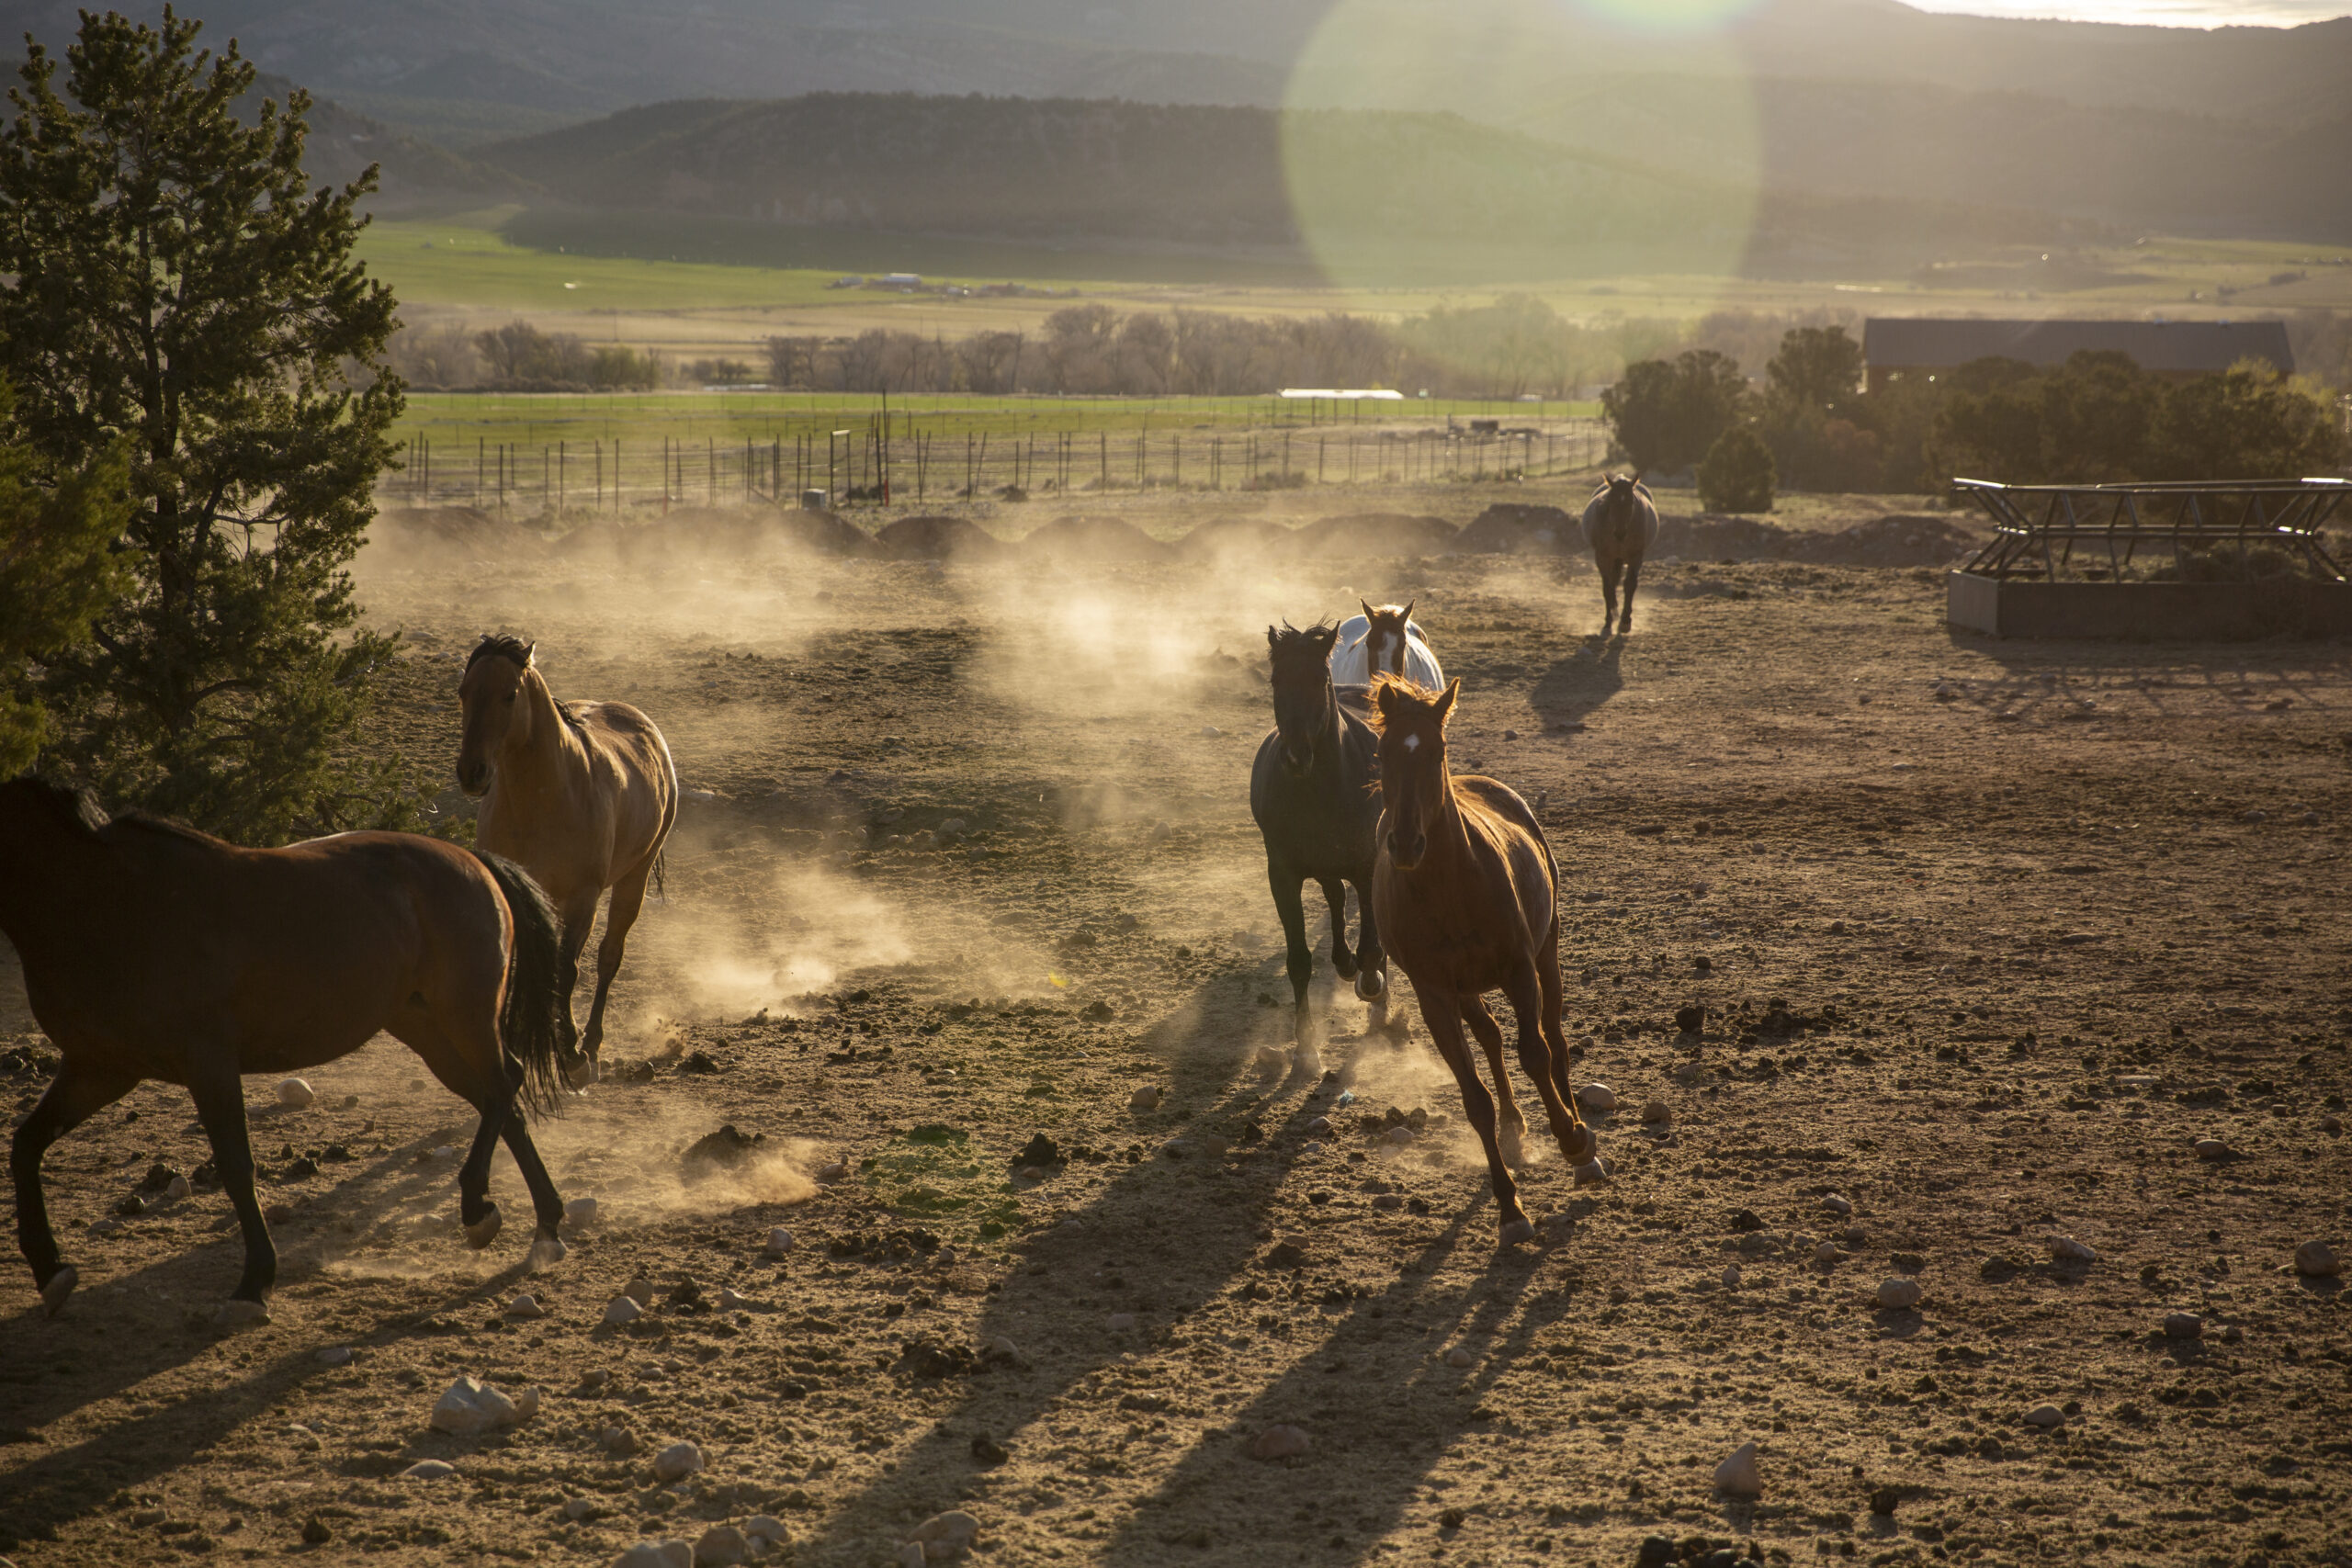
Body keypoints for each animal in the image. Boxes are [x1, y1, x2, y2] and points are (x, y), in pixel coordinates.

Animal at [0, 777, 578, 1321]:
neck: (109, 903)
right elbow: (26, 1146)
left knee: (503, 1086)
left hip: (464, 1016)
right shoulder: (99, 1067)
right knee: (498, 1098)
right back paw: (545, 1226)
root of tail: (473, 860)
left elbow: (236, 1166)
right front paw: (51, 1272)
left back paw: (479, 1209)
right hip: (422, 1026)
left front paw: (254, 1282)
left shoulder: (207, 1063)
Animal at [457, 636, 677, 1081]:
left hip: (634, 878)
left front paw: (571, 1052)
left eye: (509, 695)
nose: (471, 772)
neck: (543, 799)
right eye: (462, 693)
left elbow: (569, 968)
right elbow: (526, 964)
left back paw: (590, 1042)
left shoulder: (583, 898)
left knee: (609, 956)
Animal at [1249, 622, 1392, 1055]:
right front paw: (1306, 1043)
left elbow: (1372, 943)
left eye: (1318, 679)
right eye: (1276, 680)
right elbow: (1298, 960)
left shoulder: (1366, 865)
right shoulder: (1282, 875)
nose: (1295, 758)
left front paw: (1372, 983)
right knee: (1334, 896)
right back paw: (1344, 964)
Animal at [1367, 677, 1597, 1245]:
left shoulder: (1518, 969)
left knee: (1554, 1041)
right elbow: (1474, 1098)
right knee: (1491, 1037)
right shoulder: (1435, 996)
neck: (1450, 888)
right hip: (1468, 990)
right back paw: (1515, 1126)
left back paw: (1581, 1144)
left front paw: (1572, 1140)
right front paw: (1509, 1207)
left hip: (1547, 953)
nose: (1406, 843)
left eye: (1437, 751)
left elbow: (1535, 1054)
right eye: (1383, 753)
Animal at [1581, 475, 1660, 635]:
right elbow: (1607, 588)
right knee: (1612, 583)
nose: (1620, 533)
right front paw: (1608, 623)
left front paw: (1625, 622)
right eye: (1611, 501)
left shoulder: (1636, 556)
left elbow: (1630, 585)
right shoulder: (1602, 557)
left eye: (1631, 502)